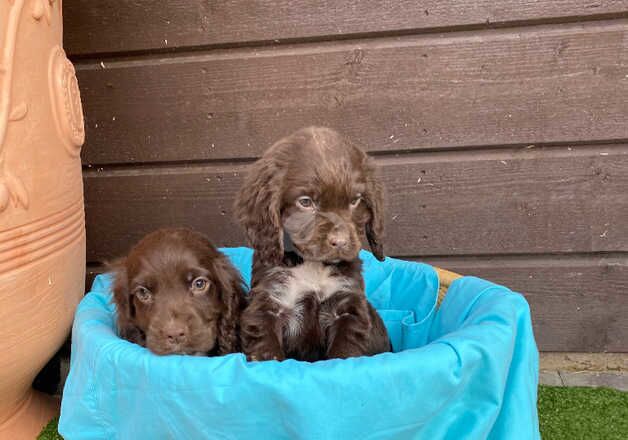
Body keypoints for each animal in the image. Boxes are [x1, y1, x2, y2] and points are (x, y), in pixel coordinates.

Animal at [233, 125, 390, 360]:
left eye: (355, 200)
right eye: (305, 202)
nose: (340, 242)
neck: (311, 265)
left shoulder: (347, 306)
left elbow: (344, 351)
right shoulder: (269, 302)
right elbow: (266, 347)